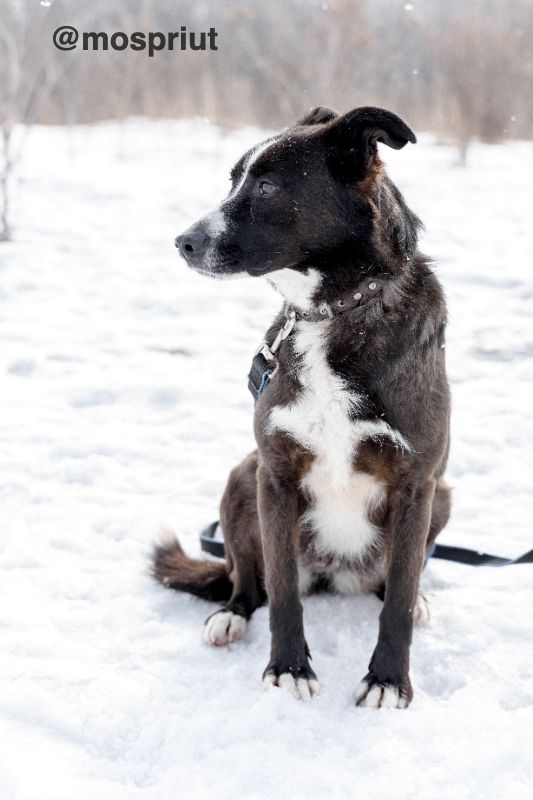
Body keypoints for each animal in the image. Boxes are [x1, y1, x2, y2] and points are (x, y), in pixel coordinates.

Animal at [154, 104, 448, 708]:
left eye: (266, 187)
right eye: (233, 180)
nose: (182, 242)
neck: (333, 312)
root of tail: (336, 574)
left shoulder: (417, 484)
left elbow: (398, 600)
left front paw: (388, 680)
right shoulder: (276, 474)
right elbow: (284, 592)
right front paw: (288, 668)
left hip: (445, 498)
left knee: (394, 584)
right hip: (241, 477)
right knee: (247, 580)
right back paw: (230, 615)